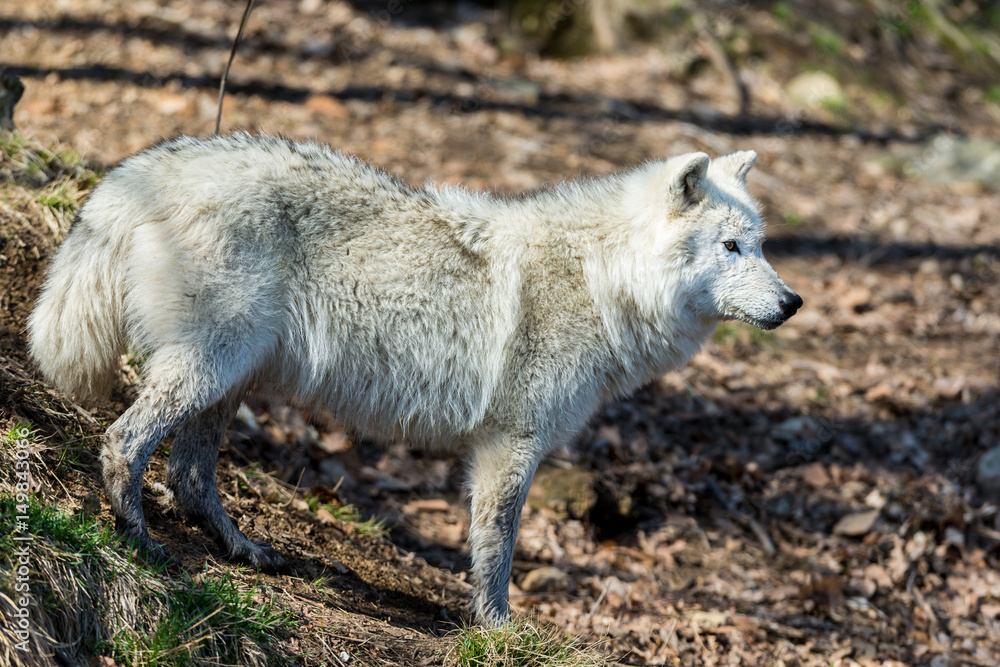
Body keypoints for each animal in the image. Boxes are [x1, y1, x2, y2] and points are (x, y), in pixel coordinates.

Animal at [28, 133, 800, 623]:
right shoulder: (510, 446)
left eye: (761, 246)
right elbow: (497, 550)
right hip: (208, 367)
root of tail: (137, 171)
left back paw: (242, 549)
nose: (793, 302)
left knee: (189, 473)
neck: (601, 279)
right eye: (731, 247)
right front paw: (497, 629)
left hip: (230, 375)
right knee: (124, 442)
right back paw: (138, 541)